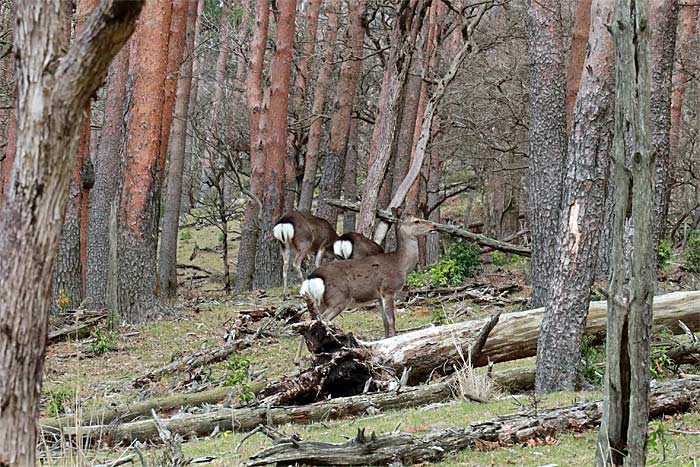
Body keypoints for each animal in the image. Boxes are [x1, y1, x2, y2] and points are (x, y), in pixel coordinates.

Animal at [300, 213, 438, 340]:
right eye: (416, 221)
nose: (434, 225)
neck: (401, 265)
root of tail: (312, 278)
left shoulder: (378, 296)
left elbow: (384, 321)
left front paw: (386, 339)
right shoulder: (388, 290)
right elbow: (391, 320)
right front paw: (393, 339)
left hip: (321, 301)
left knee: (310, 320)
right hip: (338, 299)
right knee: (322, 320)